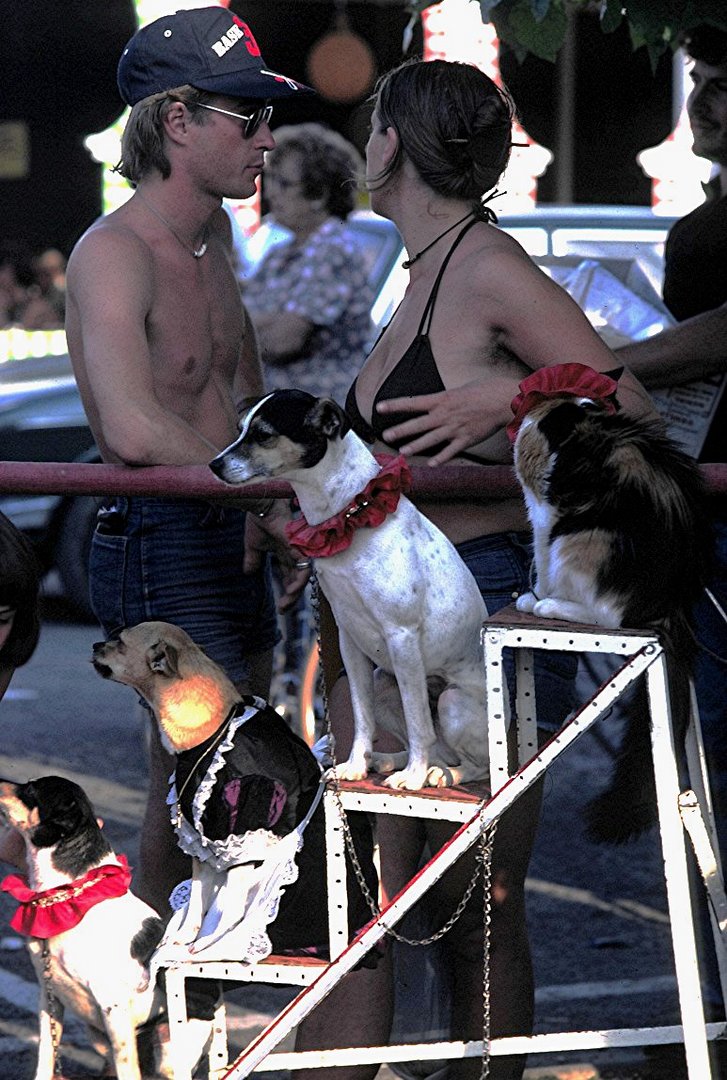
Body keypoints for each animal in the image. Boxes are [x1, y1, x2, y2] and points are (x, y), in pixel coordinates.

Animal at [507, 362, 704, 842]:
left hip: (581, 542)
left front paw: (535, 598)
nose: (520, 412)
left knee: (608, 615)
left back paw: (549, 607)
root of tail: (671, 605)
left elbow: (540, 557)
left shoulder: (545, 514)